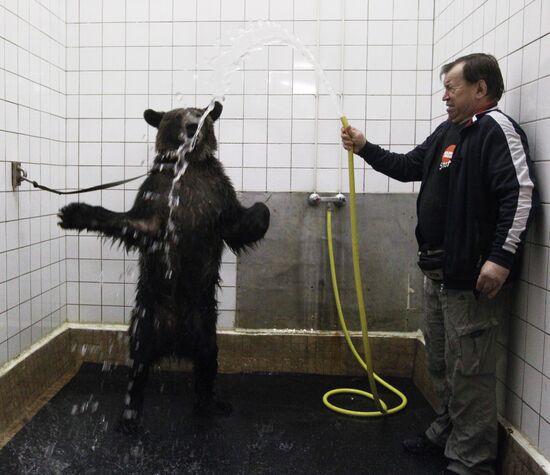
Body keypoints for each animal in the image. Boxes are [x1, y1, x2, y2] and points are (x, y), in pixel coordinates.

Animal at [57, 102, 270, 434]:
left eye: (201, 113)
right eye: (178, 114)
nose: (193, 125)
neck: (187, 167)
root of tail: (175, 342)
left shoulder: (217, 195)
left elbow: (238, 224)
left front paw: (263, 207)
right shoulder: (158, 196)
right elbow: (135, 224)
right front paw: (75, 211)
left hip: (204, 325)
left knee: (208, 361)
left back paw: (211, 403)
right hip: (148, 320)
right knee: (138, 365)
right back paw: (130, 416)